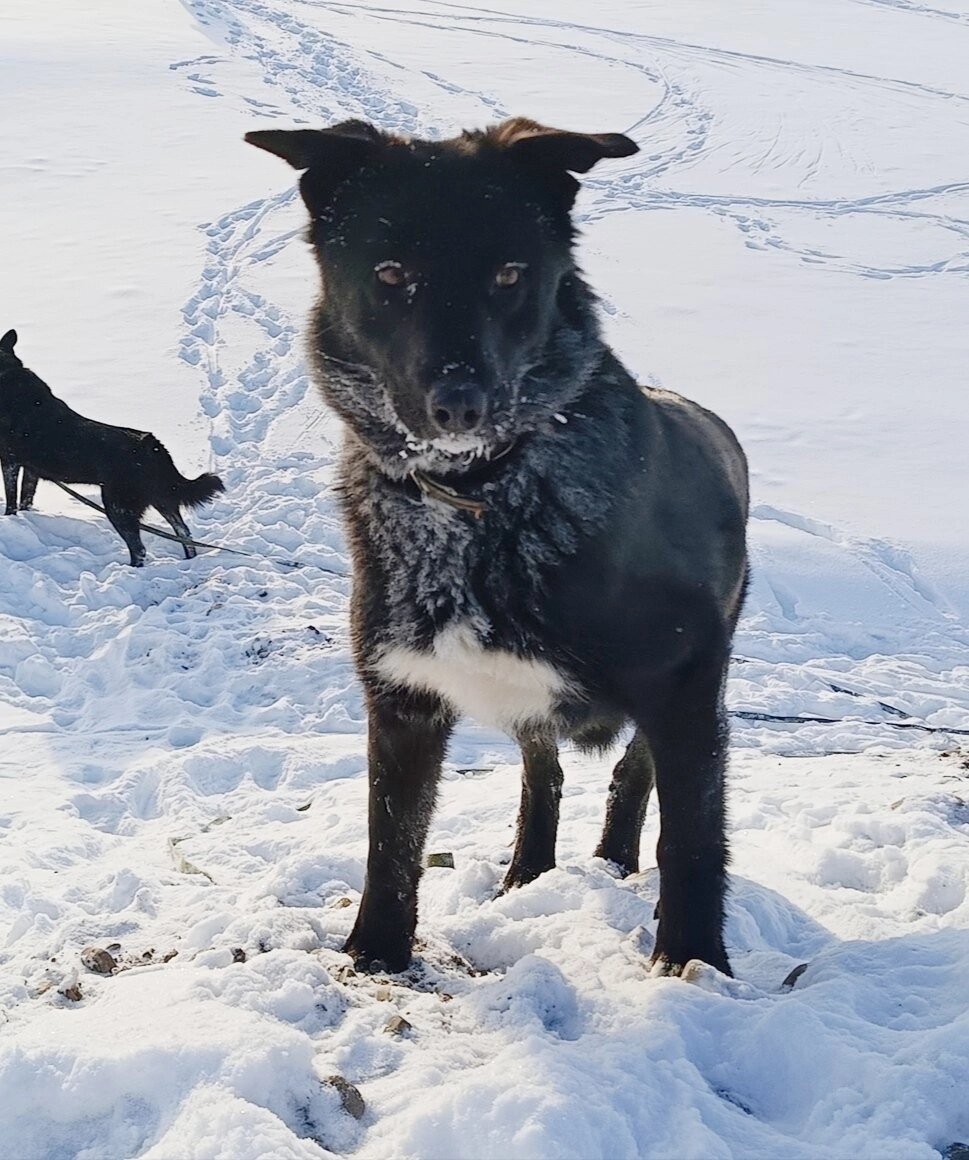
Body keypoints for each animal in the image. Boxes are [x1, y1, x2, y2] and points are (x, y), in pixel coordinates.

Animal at [0, 327, 223, 566]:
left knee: (139, 548)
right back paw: (189, 561)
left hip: (119, 506)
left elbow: (11, 501)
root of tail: (152, 446)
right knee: (184, 532)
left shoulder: (10, 461)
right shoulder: (31, 469)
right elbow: (25, 498)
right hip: (162, 498)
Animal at [250, 117, 751, 974]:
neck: (480, 497)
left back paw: (614, 861)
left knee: (631, 774)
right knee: (539, 776)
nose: (460, 404)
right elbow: (393, 840)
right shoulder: (402, 699)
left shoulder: (685, 687)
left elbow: (689, 838)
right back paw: (528, 874)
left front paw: (693, 966)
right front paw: (376, 954)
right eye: (390, 272)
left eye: (510, 274)